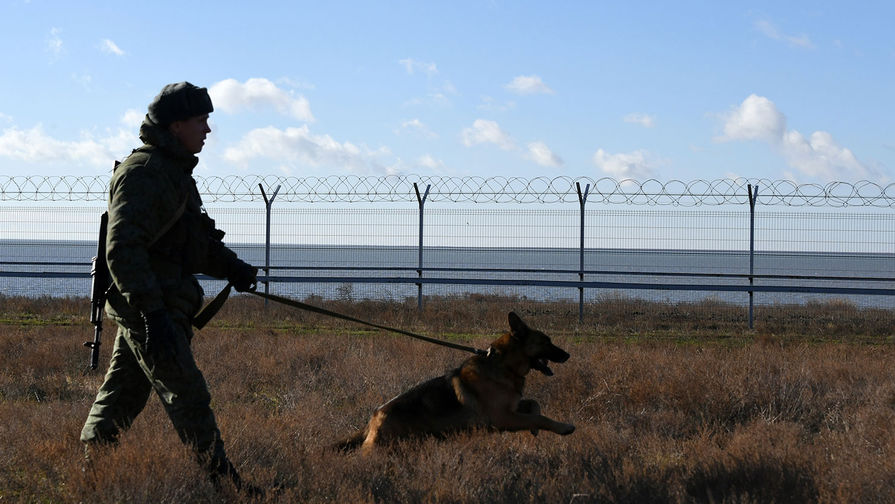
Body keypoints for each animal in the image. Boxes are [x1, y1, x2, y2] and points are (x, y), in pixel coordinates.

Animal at [334, 312, 576, 452]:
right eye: (546, 342)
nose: (567, 355)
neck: (503, 364)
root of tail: (373, 418)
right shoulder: (504, 417)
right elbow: (540, 417)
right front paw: (563, 427)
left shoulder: (513, 408)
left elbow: (535, 406)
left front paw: (534, 428)